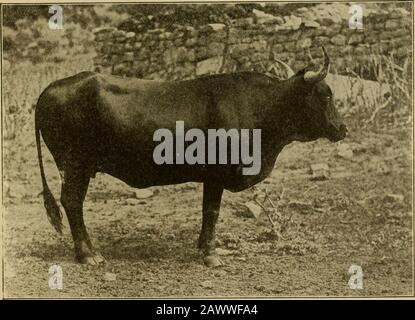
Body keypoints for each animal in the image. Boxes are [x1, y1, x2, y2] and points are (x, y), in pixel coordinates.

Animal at [35, 47, 348, 268]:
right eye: (325, 95)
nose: (343, 128)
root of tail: (50, 89)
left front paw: (202, 247)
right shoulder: (216, 174)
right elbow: (211, 212)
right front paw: (210, 254)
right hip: (76, 164)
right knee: (72, 202)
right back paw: (88, 255)